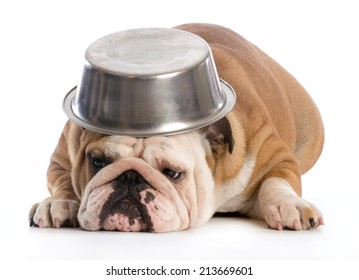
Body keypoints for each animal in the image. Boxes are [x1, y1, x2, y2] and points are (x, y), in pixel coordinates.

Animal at [29, 23, 324, 232]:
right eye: (98, 162)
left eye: (172, 173)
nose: (129, 178)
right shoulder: (62, 156)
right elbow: (64, 179)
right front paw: (59, 203)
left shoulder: (274, 156)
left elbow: (276, 182)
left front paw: (289, 205)